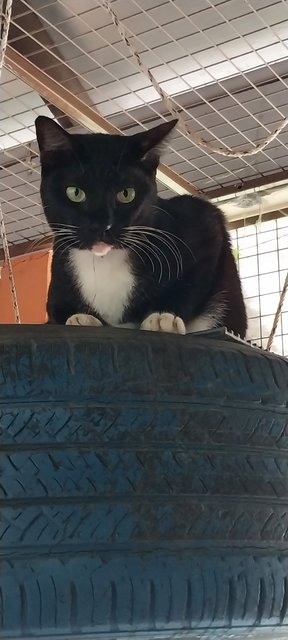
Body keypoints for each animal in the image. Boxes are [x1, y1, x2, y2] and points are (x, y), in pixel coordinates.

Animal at [35, 115, 248, 338]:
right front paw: (80, 318)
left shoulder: (204, 222)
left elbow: (190, 284)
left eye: (126, 194)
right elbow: (58, 309)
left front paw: (162, 317)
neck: (104, 261)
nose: (102, 225)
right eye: (75, 192)